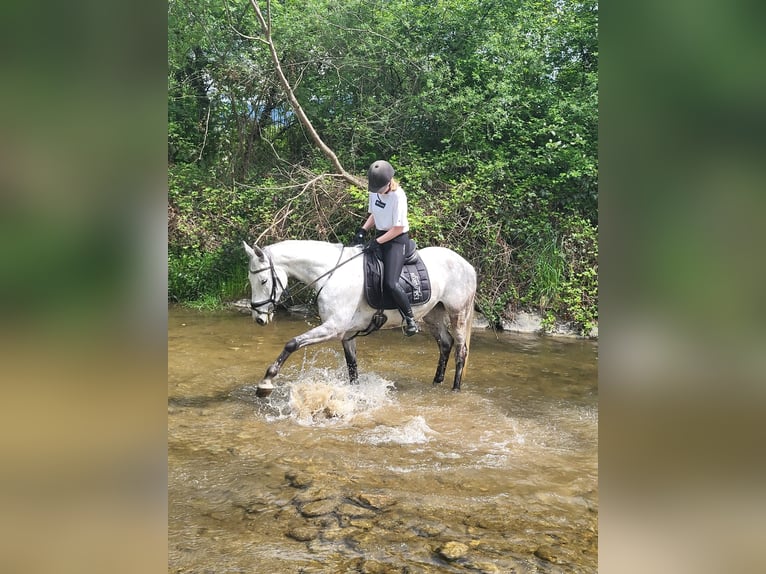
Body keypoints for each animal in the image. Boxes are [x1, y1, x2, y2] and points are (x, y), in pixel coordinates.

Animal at [243, 241, 476, 398]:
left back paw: (455, 388)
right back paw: (437, 382)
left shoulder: (333, 328)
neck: (332, 274)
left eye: (263, 281)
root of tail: (467, 265)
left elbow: (292, 344)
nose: (259, 318)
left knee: (461, 350)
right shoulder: (347, 334)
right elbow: (352, 368)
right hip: (433, 314)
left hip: (458, 313)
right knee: (445, 343)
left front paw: (266, 382)